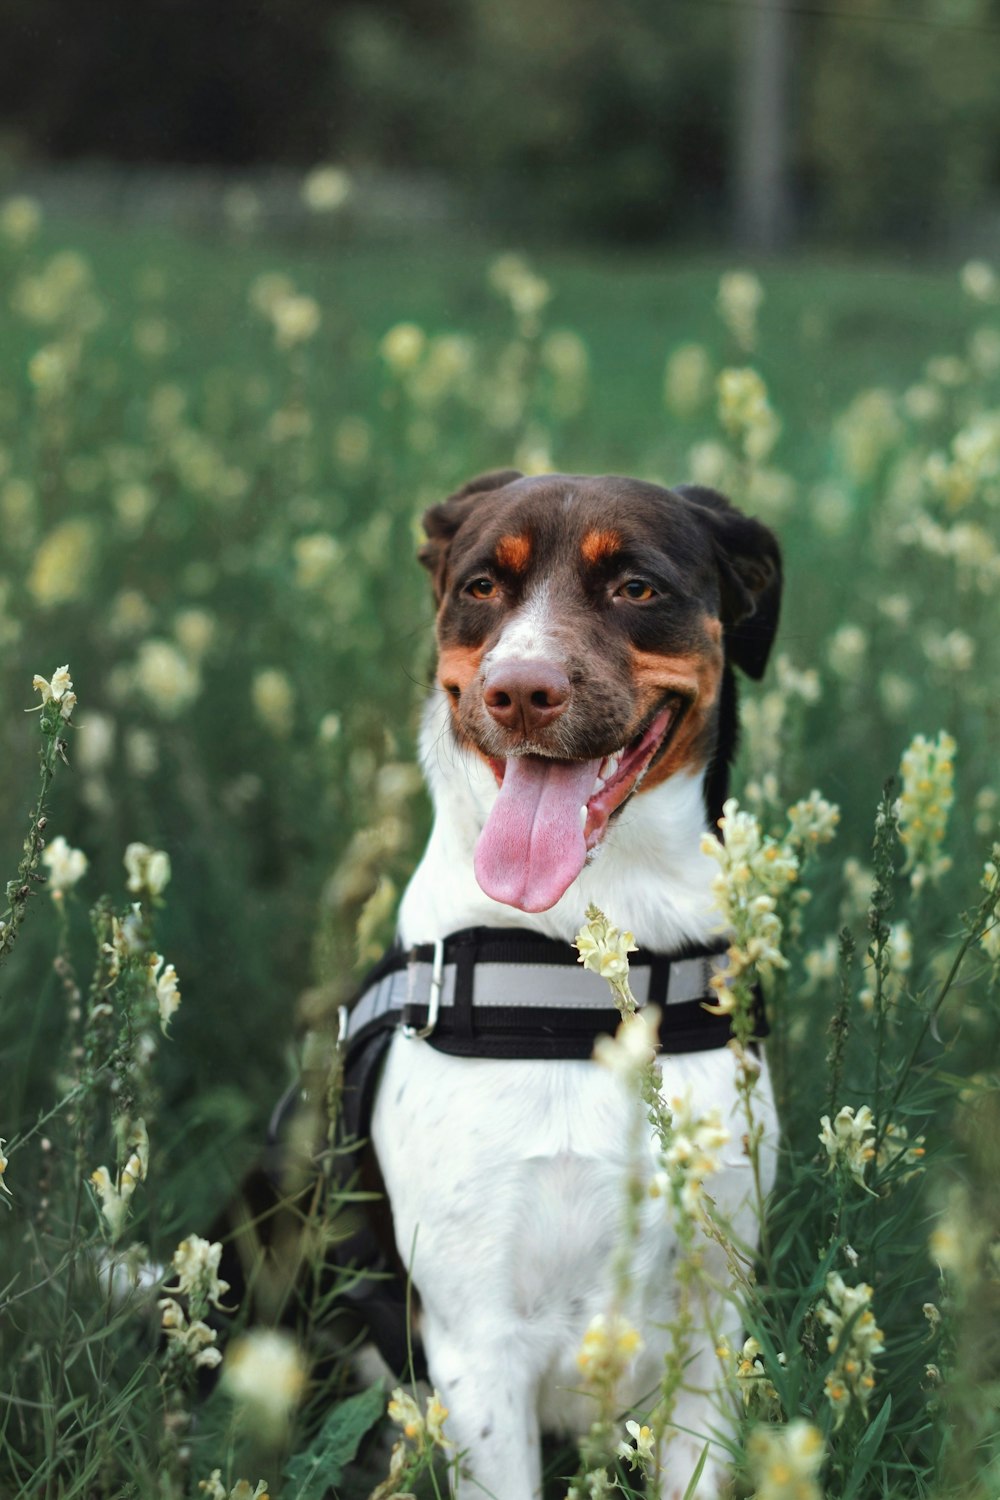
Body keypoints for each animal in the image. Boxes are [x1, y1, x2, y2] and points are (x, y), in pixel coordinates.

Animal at [359, 471, 779, 1500]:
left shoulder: (712, 1327)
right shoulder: (476, 1346)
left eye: (636, 587)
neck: (582, 989)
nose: (519, 691)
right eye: (482, 586)